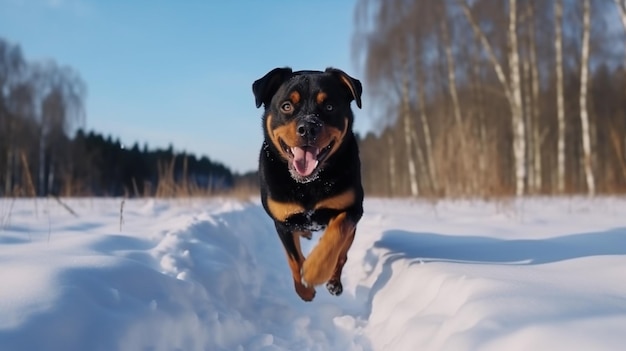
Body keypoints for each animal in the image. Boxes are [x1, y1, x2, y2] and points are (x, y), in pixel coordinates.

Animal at [251, 66, 364, 302]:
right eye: (286, 106)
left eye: (329, 106)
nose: (308, 128)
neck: (308, 184)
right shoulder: (282, 220)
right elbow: (293, 259)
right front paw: (304, 289)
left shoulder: (353, 207)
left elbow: (336, 234)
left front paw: (314, 271)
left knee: (342, 255)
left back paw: (333, 283)